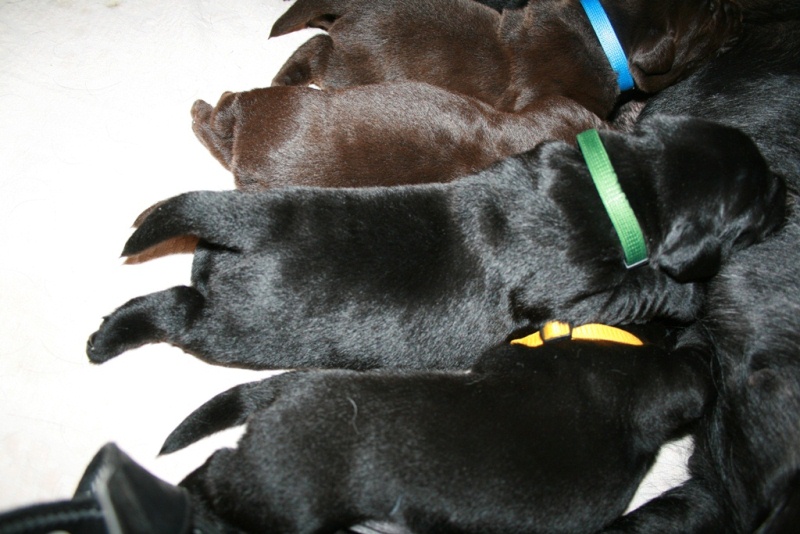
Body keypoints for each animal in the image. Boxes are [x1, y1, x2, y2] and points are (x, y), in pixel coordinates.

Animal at [85, 115, 785, 371]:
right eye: (758, 203)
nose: (791, 189)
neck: (627, 183)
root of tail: (250, 224)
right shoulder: (576, 295)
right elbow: (645, 286)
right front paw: (685, 296)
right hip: (238, 328)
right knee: (175, 310)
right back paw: (106, 337)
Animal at [269, 0, 742, 119]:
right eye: (712, 15)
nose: (736, 10)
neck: (602, 33)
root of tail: (350, 8)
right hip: (353, 63)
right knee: (316, 49)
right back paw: (284, 78)